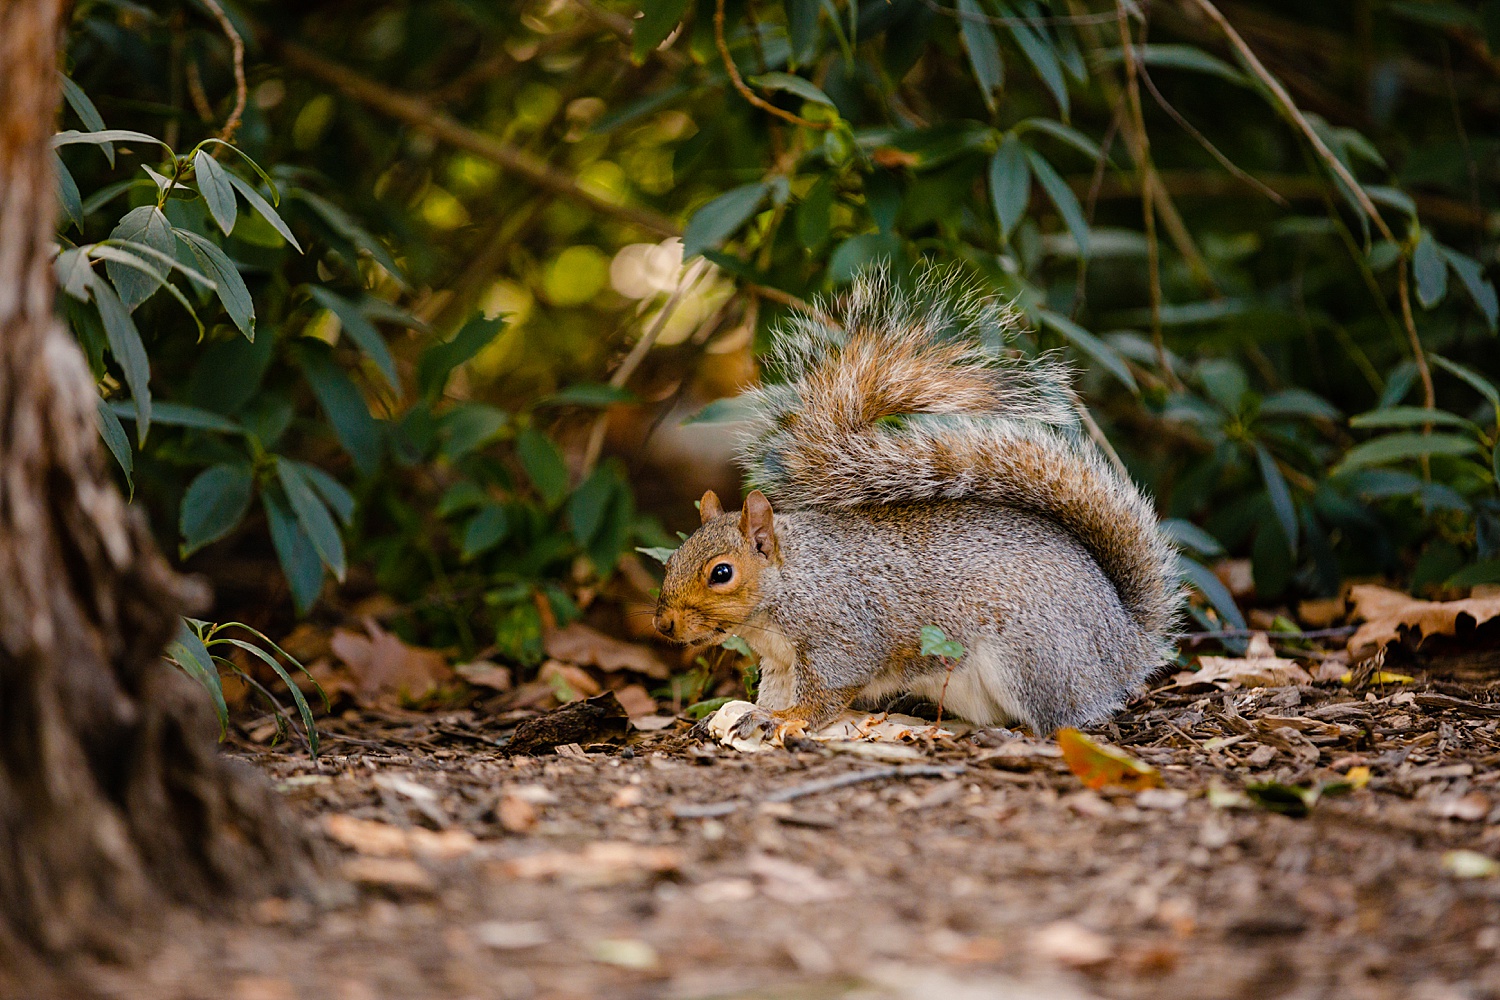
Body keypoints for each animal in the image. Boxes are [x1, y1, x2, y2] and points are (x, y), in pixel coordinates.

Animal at [657, 269, 1182, 740]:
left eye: (721, 573)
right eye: (673, 561)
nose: (664, 625)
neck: (795, 580)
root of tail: (1124, 643)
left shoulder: (843, 630)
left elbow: (829, 688)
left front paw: (788, 719)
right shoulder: (779, 661)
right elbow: (773, 690)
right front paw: (742, 713)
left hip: (1033, 658)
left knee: (1061, 719)